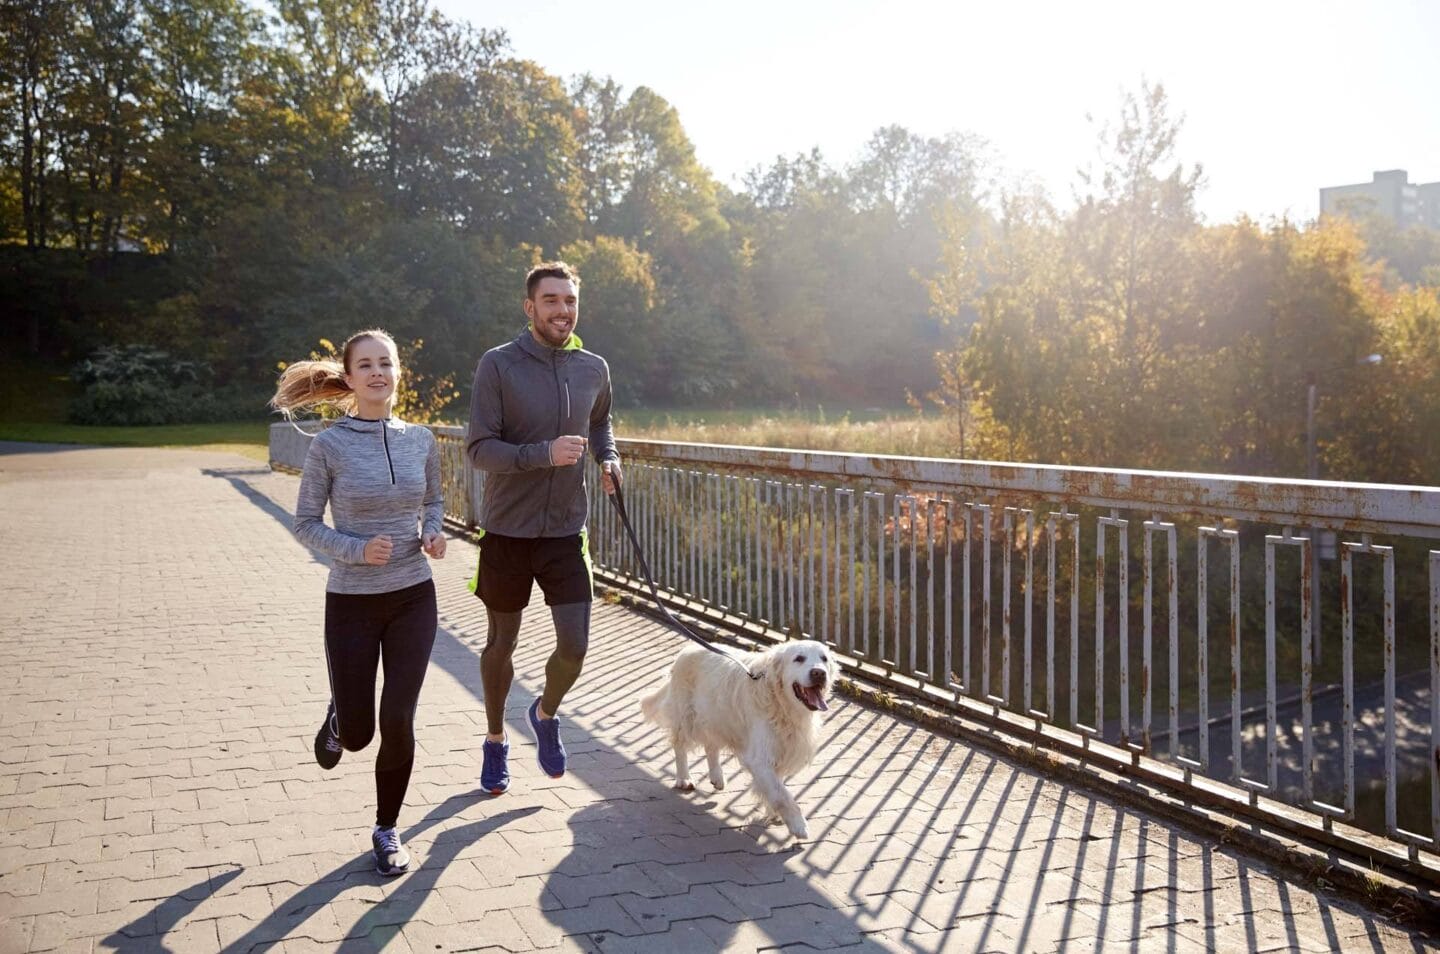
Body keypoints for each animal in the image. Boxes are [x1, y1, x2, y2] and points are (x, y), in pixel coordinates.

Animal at [639, 639, 835, 841]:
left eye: (824, 659)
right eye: (799, 658)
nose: (819, 673)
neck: (782, 705)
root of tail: (687, 649)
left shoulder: (778, 749)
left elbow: (775, 787)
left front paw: (773, 811)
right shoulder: (760, 757)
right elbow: (782, 794)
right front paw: (798, 825)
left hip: (715, 716)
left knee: (711, 746)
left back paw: (717, 777)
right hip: (687, 716)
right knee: (680, 746)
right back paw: (684, 778)